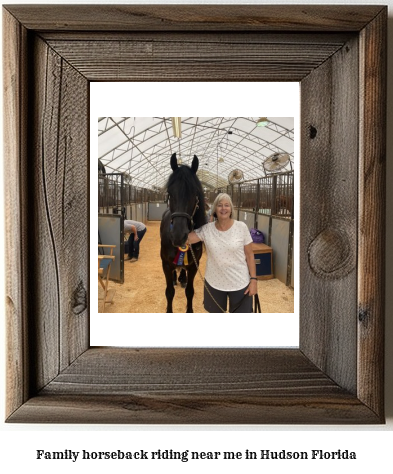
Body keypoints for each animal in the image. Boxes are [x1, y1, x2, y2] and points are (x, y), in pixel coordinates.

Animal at [159, 154, 205, 312]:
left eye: (195, 193)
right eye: (170, 193)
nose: (179, 236)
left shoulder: (194, 265)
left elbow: (190, 292)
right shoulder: (166, 265)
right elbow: (169, 292)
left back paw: (182, 279)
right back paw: (175, 279)